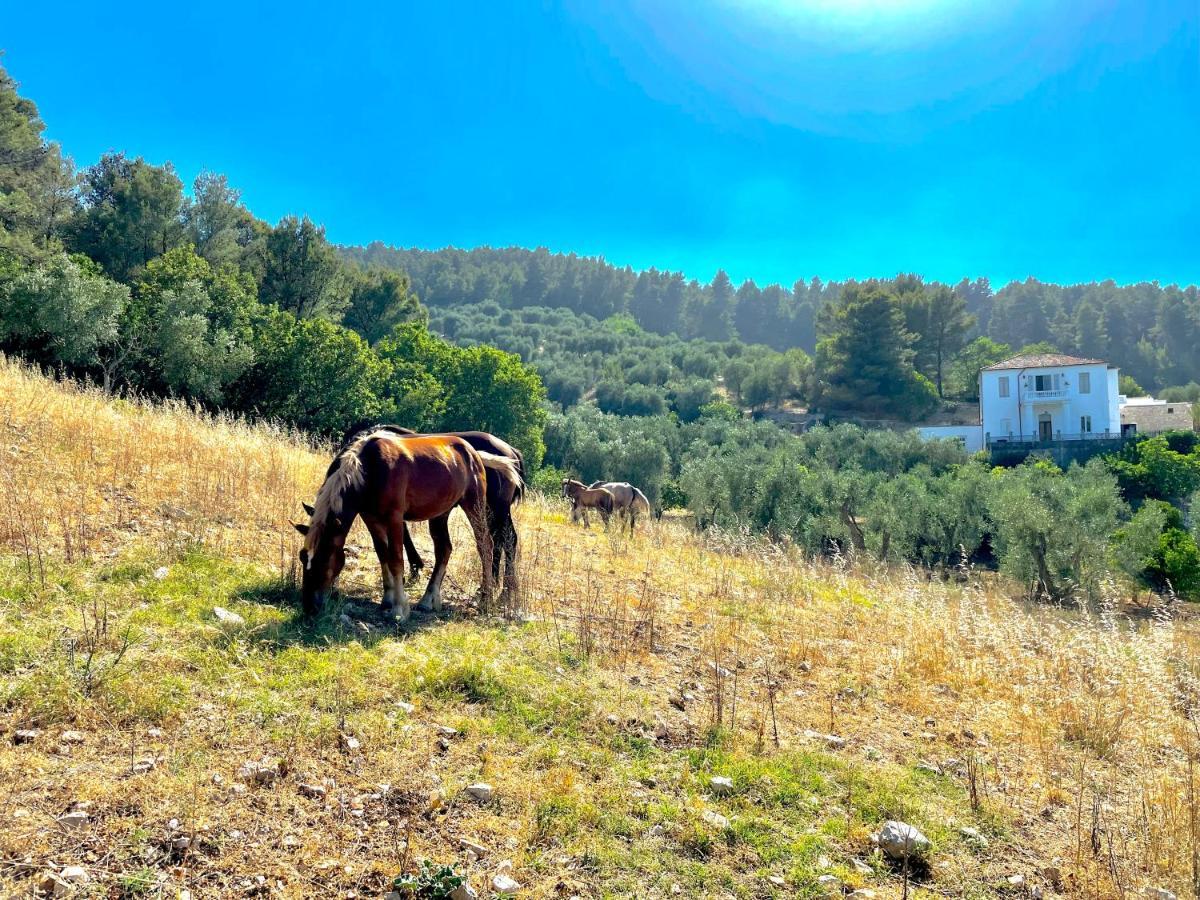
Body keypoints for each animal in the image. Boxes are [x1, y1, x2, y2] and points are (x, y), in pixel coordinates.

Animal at [297, 434, 518, 624]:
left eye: (324, 558)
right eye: (302, 557)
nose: (309, 607)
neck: (370, 469)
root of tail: (474, 453)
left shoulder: (394, 518)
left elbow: (396, 559)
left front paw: (399, 609)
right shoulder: (371, 518)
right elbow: (383, 554)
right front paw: (387, 598)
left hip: (474, 506)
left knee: (485, 546)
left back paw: (486, 599)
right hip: (440, 514)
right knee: (444, 549)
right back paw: (428, 600)